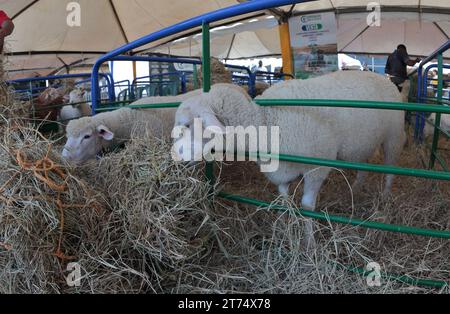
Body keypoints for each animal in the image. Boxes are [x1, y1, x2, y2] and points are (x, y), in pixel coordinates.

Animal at [174, 72, 406, 249]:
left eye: (187, 124)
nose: (175, 157)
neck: (265, 122)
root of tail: (384, 78)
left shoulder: (316, 168)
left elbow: (307, 206)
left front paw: (309, 243)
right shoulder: (282, 171)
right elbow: (285, 203)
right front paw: (287, 230)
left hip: (393, 137)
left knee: (390, 170)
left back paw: (384, 200)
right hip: (362, 144)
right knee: (363, 166)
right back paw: (356, 190)